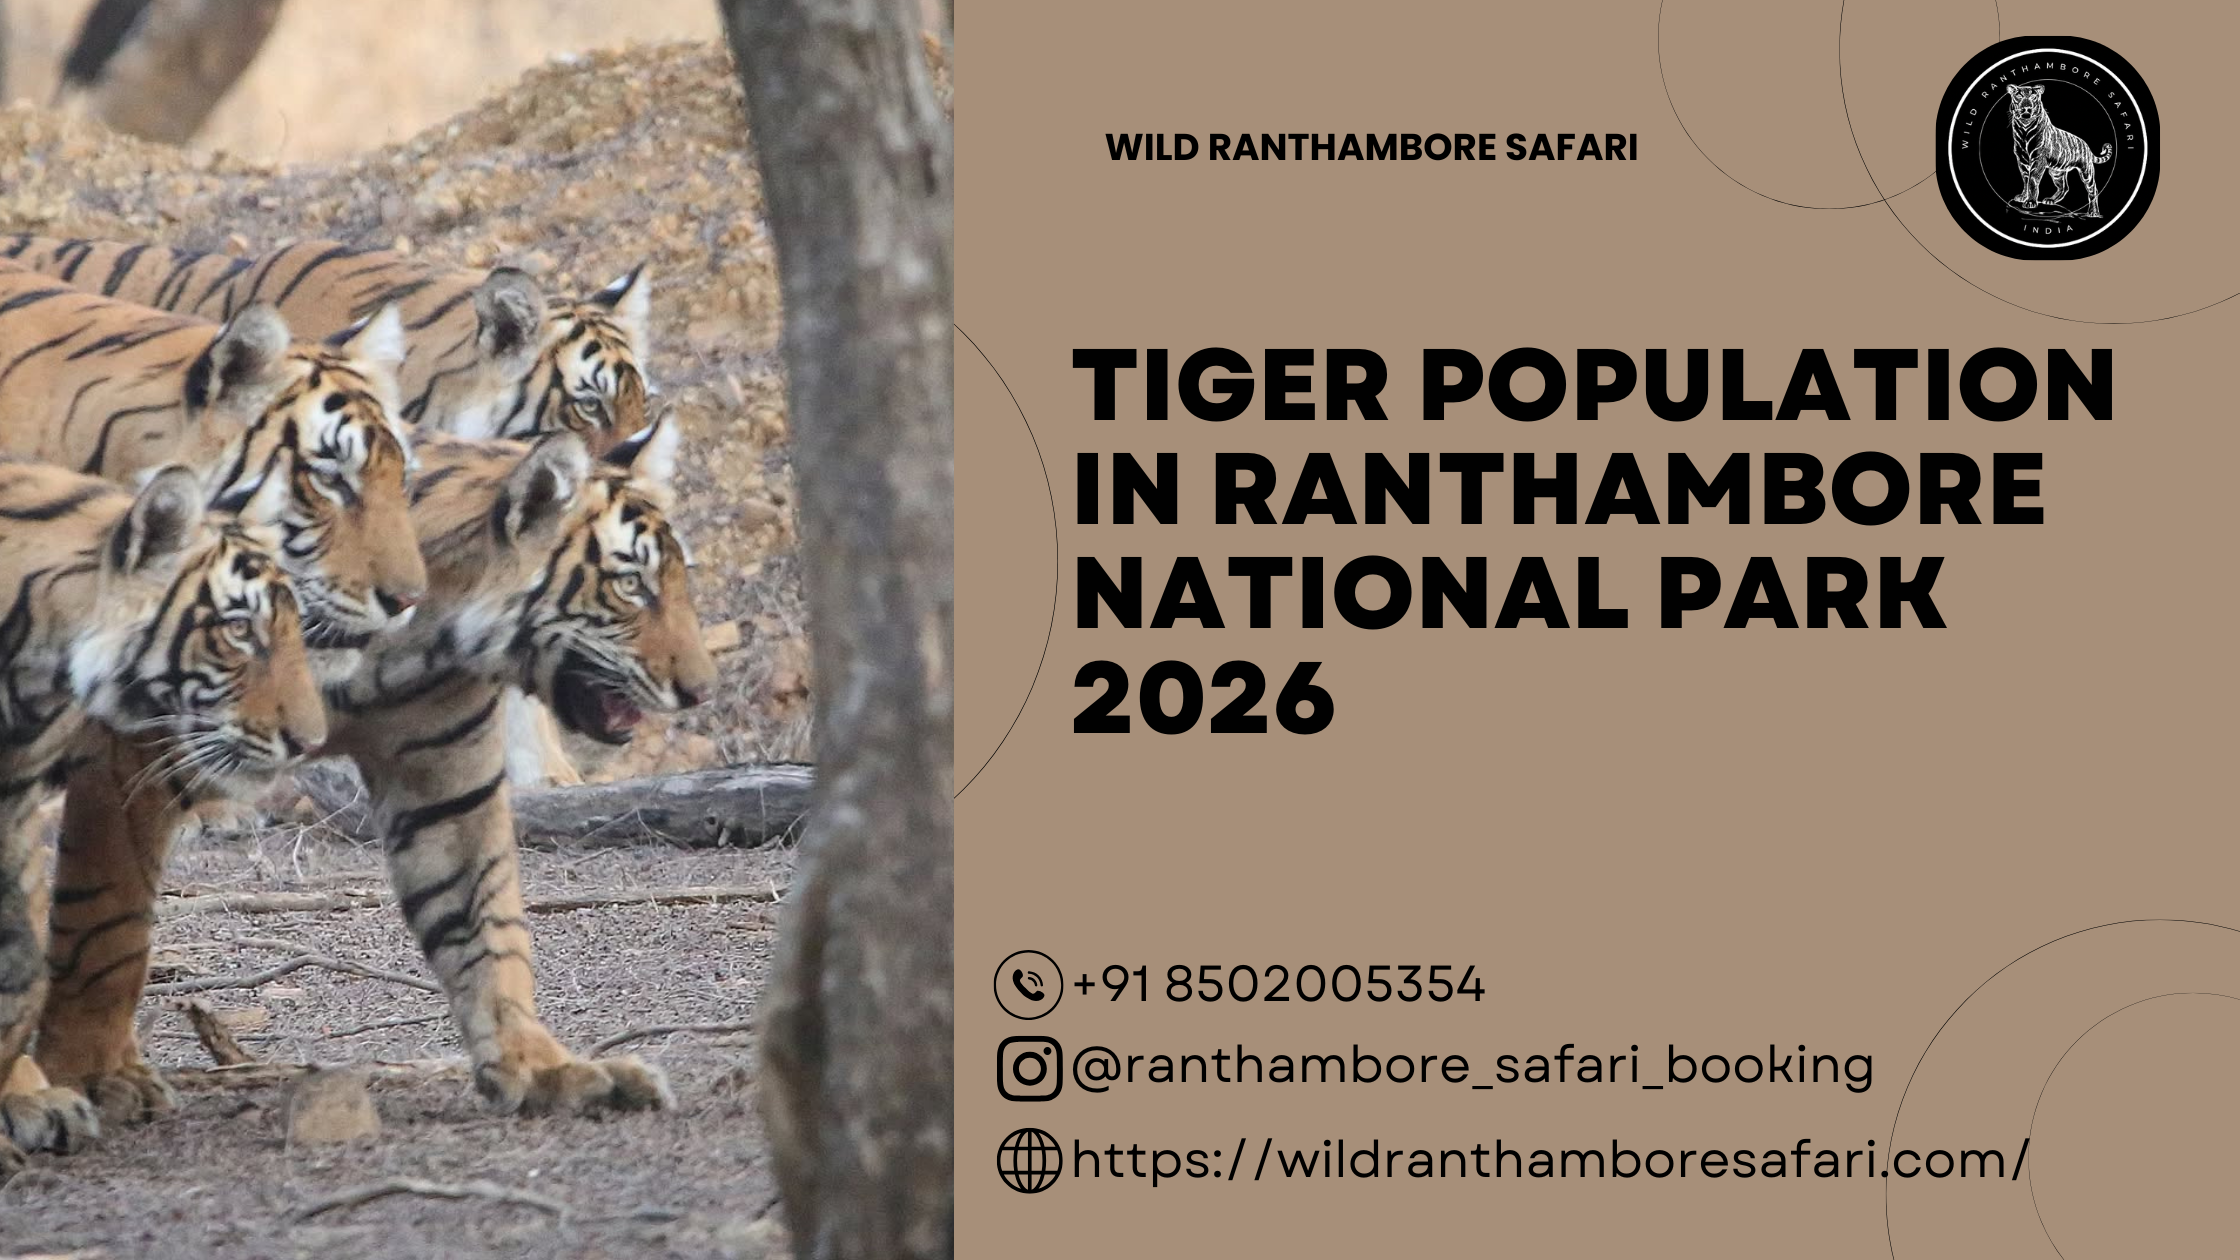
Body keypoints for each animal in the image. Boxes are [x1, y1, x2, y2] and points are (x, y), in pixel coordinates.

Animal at [37, 416, 718, 1128]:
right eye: (631, 585)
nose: (702, 691)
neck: (417, 641)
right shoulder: (131, 760)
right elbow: (108, 928)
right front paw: (97, 1075)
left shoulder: (446, 784)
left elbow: (486, 926)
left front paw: (541, 1068)